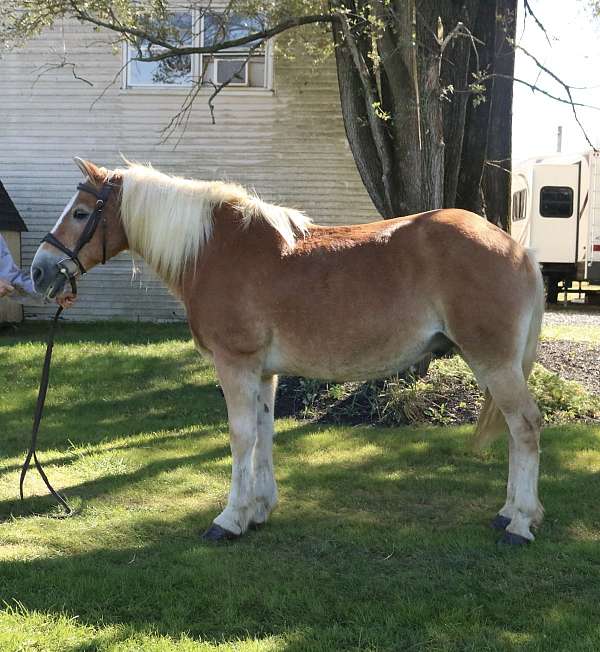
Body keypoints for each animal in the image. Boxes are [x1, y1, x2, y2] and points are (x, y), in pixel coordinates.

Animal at [34, 157, 548, 544]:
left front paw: (229, 519)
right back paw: (511, 512)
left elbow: (241, 437)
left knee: (524, 427)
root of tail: (517, 250)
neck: (215, 248)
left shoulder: (235, 365)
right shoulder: (263, 372)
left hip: (494, 362)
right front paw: (258, 510)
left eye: (81, 212)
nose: (40, 272)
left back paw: (520, 523)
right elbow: (264, 434)